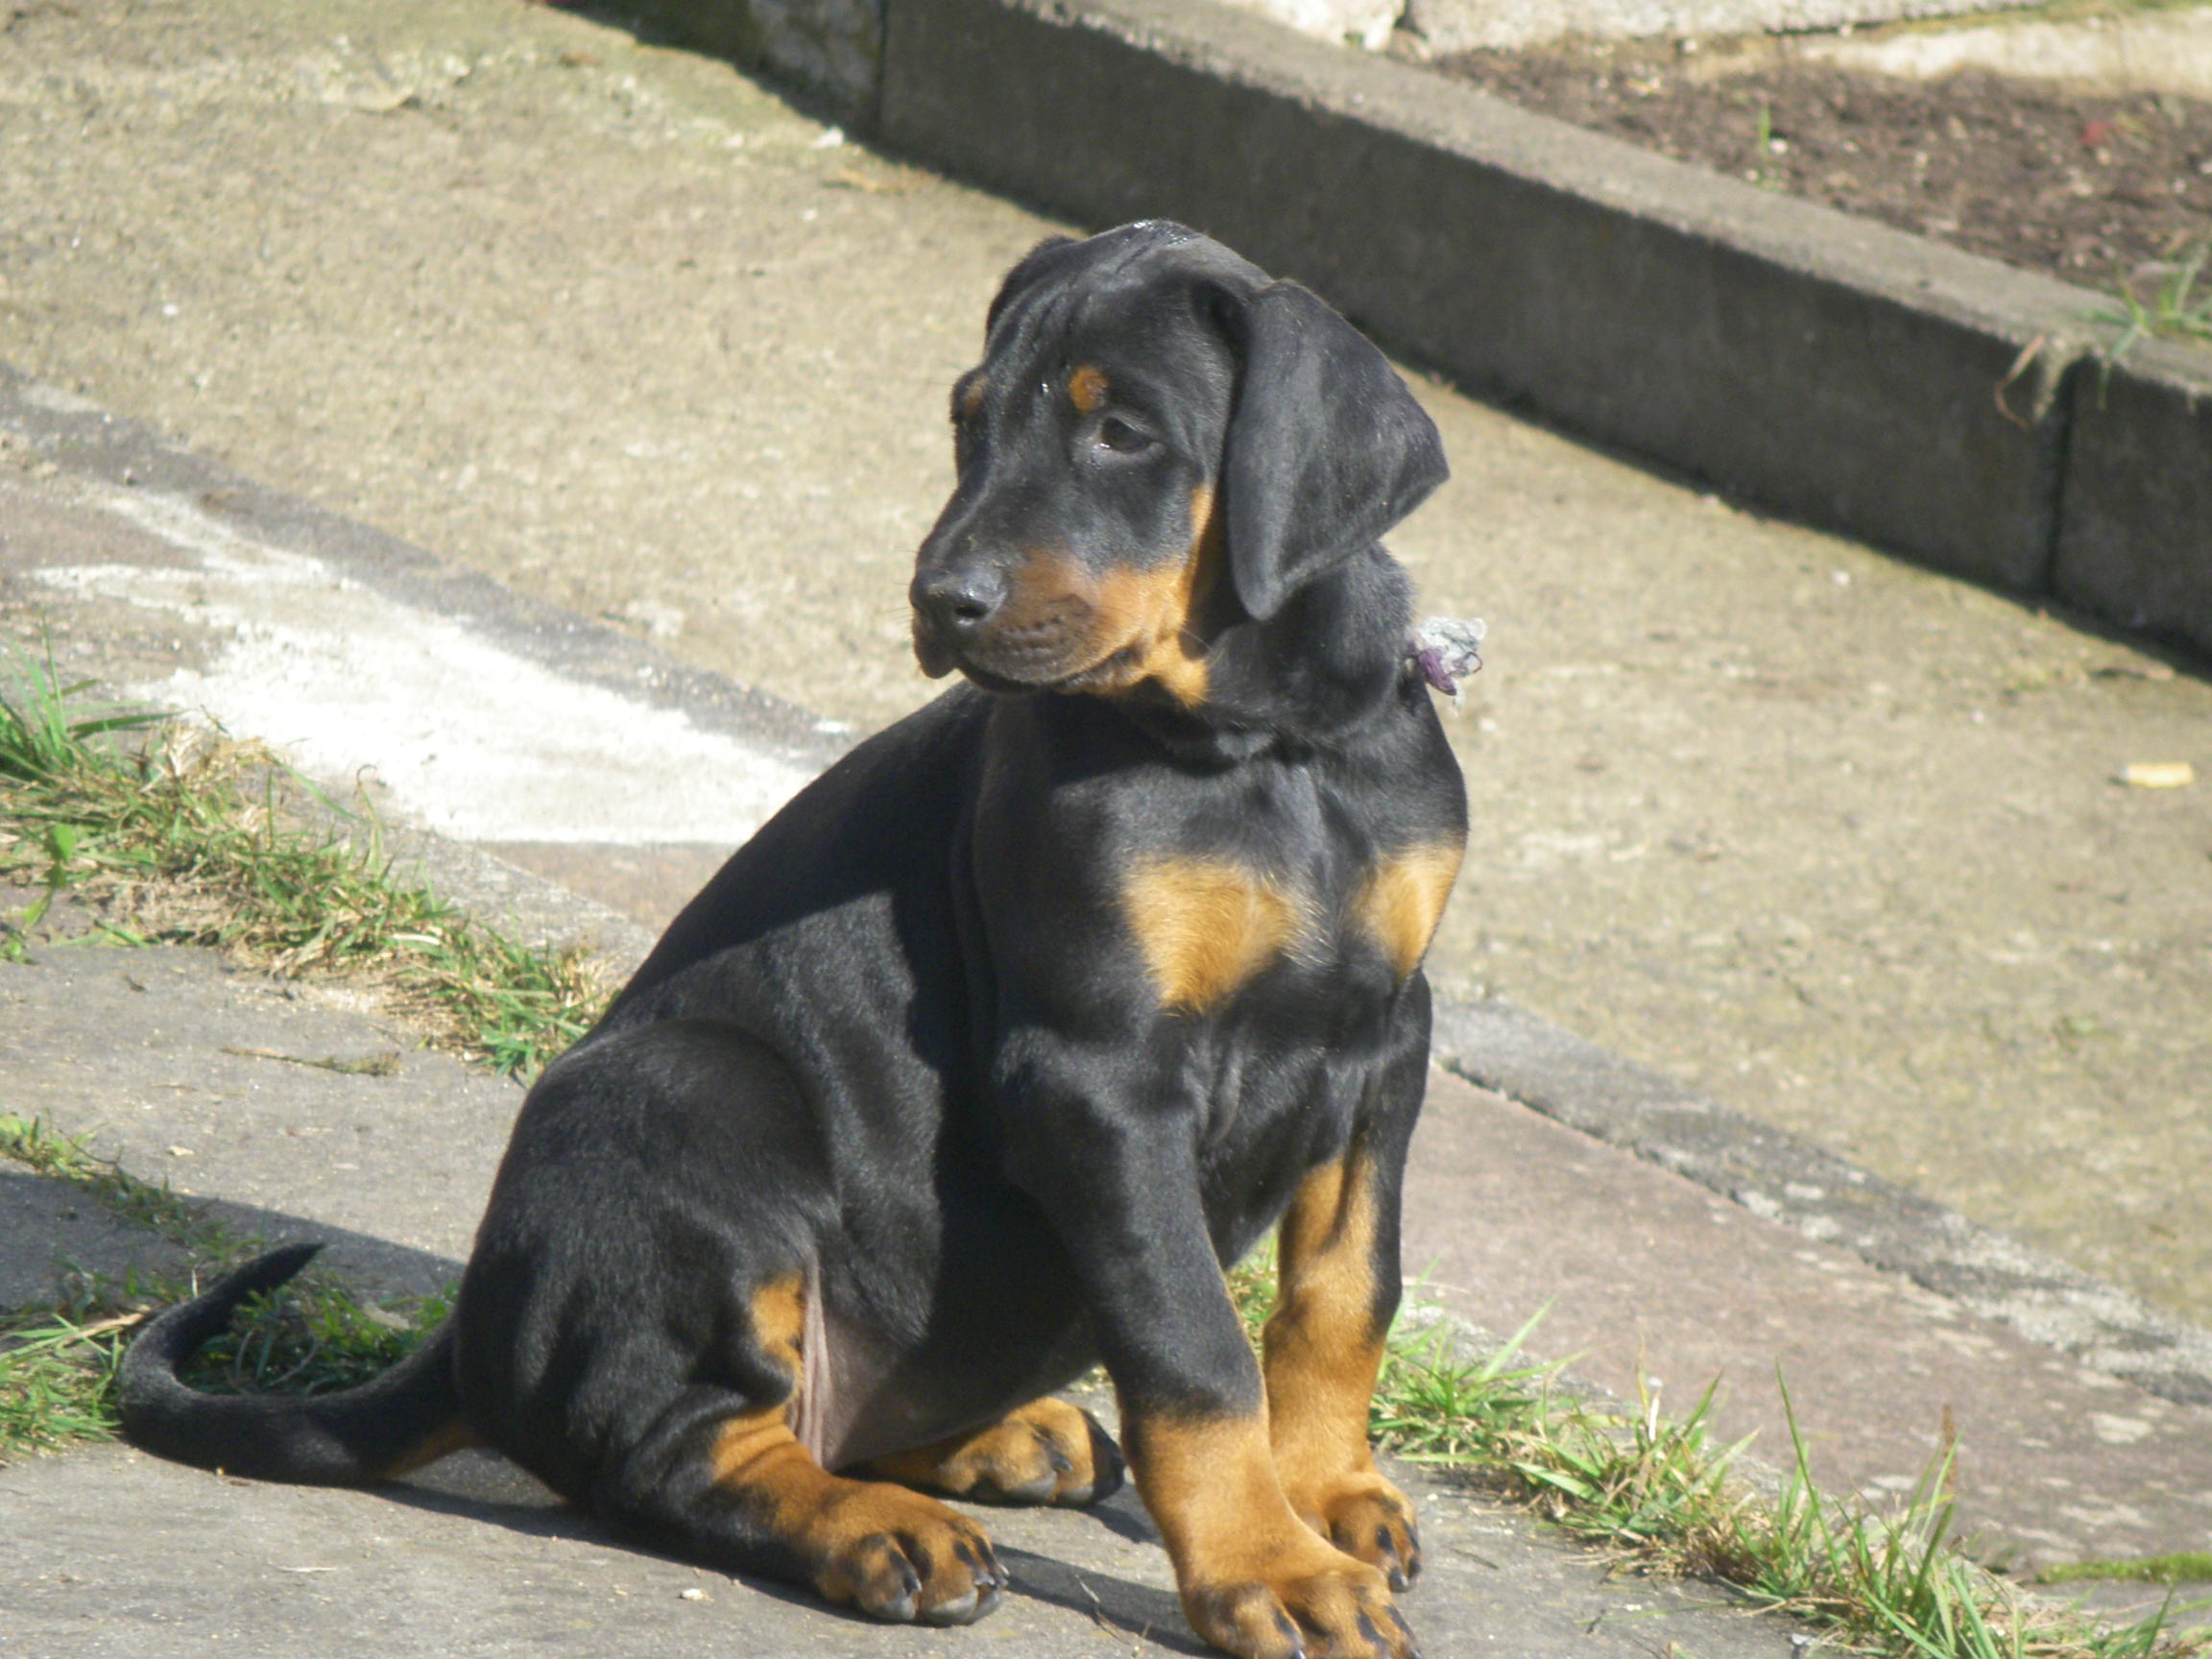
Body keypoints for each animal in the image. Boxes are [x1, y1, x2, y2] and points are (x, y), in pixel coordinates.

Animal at [120, 220, 1464, 1659]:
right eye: (968, 421)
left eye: (1123, 434)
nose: (941, 600)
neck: (1273, 748)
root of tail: (475, 1324)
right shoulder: (1098, 1071)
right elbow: (1193, 1348)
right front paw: (1271, 1567)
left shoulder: (1386, 1034)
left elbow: (1346, 1291)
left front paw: (1328, 1495)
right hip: (694, 1093)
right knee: (667, 1444)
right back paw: (882, 1531)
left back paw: (1000, 1439)